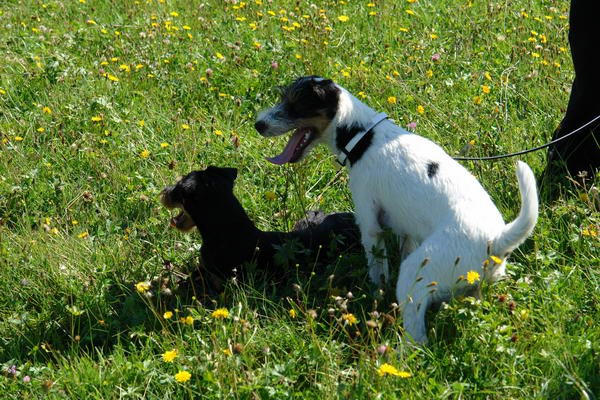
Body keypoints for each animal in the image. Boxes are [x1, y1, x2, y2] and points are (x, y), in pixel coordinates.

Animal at [253, 76, 540, 342]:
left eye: (294, 105)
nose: (258, 125)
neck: (361, 136)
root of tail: (496, 239)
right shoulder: (406, 231)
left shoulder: (370, 225)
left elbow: (377, 272)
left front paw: (376, 295)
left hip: (416, 276)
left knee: (418, 338)